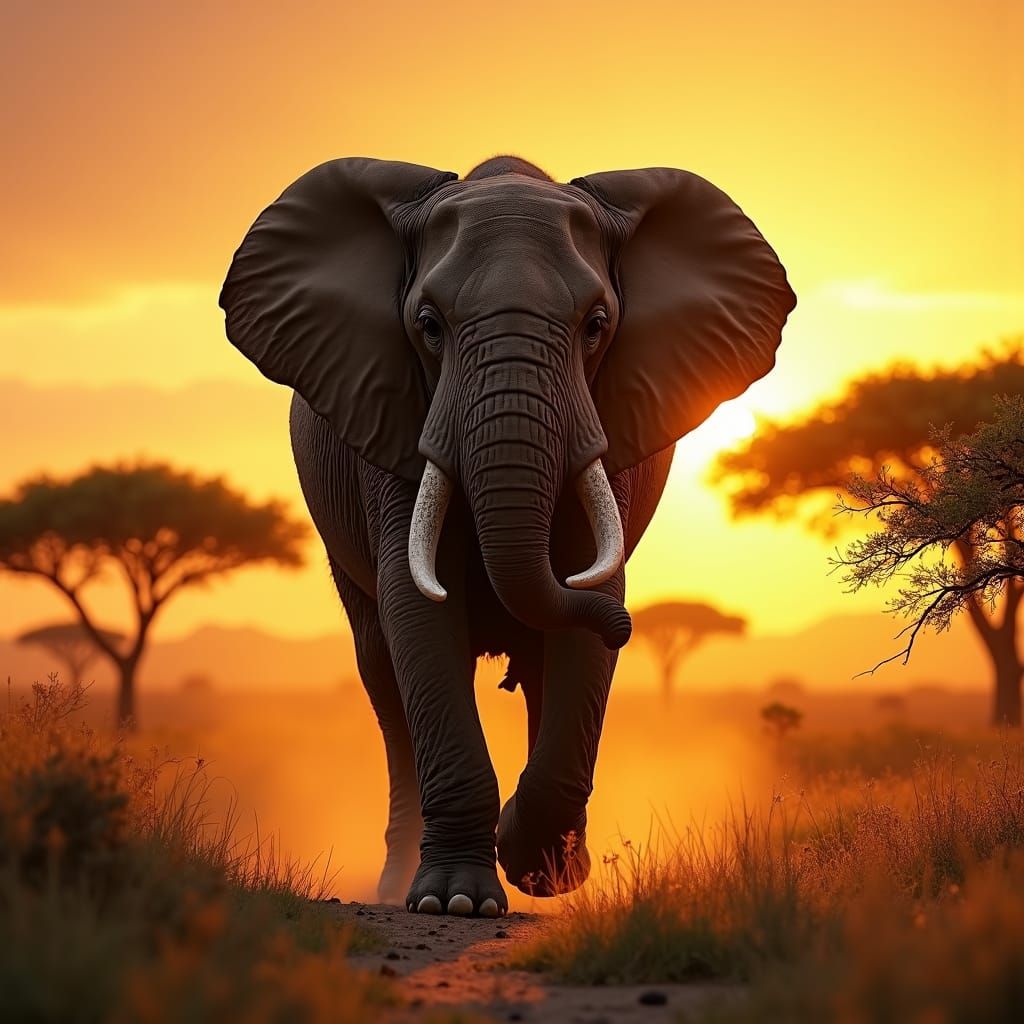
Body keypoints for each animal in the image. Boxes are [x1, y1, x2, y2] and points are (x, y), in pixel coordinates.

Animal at [219, 154, 794, 917]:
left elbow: (585, 591)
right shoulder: (393, 415)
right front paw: (457, 902)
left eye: (596, 324)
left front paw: (537, 864)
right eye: (428, 325)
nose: (627, 628)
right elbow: (419, 605)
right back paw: (401, 884)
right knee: (384, 675)